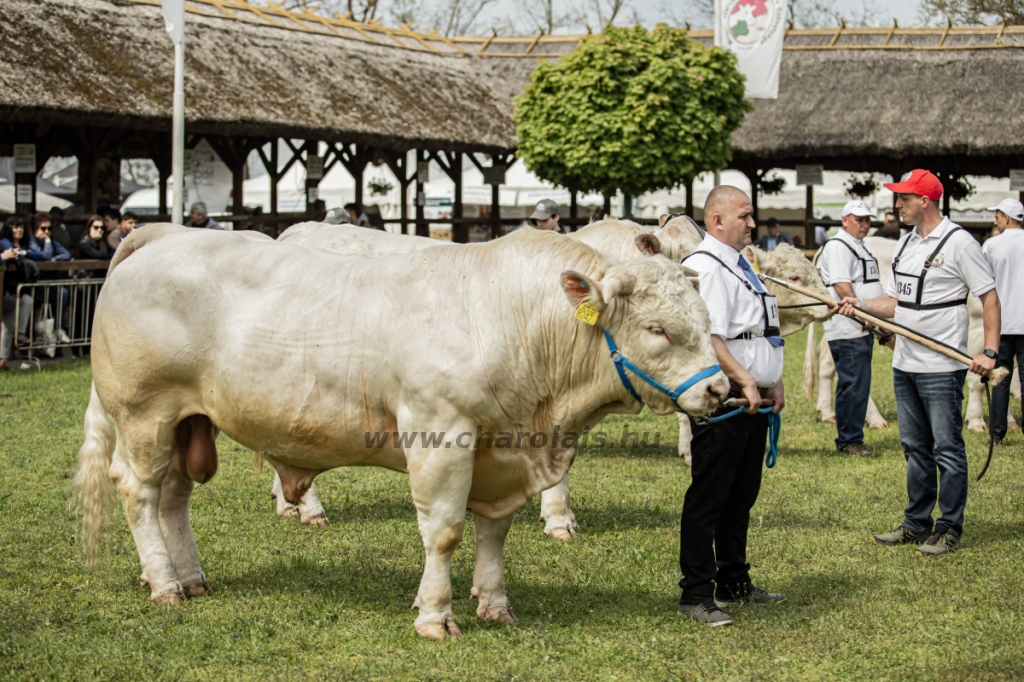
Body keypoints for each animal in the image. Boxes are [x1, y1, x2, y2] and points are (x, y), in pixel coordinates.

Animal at [74, 223, 729, 638]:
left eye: (705, 319)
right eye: (658, 329)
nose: (720, 390)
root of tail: (162, 237)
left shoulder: (501, 451)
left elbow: (493, 532)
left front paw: (494, 603)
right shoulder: (441, 433)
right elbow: (443, 532)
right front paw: (435, 615)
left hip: (190, 422)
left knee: (174, 497)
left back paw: (191, 577)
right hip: (144, 413)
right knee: (139, 492)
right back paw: (164, 583)